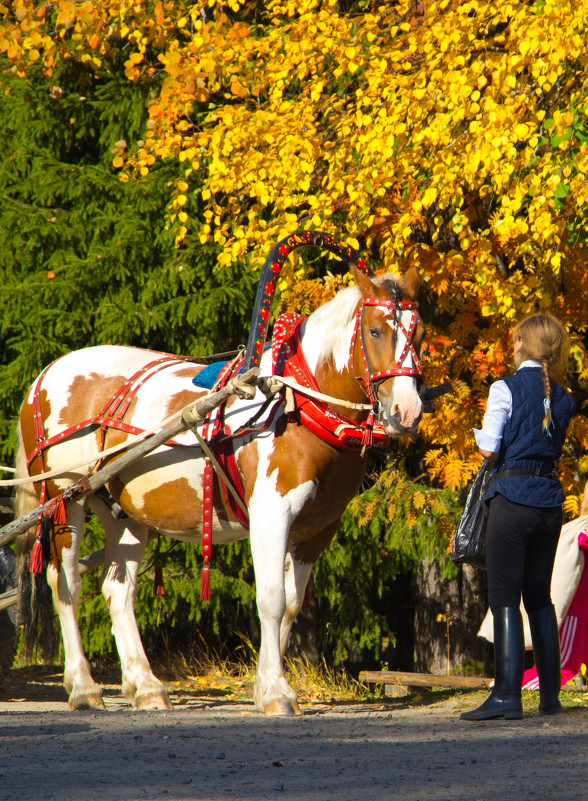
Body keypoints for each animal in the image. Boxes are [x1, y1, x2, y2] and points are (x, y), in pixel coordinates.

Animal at [16, 266, 424, 716]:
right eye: (375, 330)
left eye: (420, 333)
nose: (407, 411)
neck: (299, 406)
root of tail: (45, 374)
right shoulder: (270, 515)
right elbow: (271, 600)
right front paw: (276, 692)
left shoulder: (318, 530)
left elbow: (291, 606)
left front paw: (265, 685)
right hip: (65, 496)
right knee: (65, 584)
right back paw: (84, 687)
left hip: (124, 509)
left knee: (118, 591)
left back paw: (146, 686)